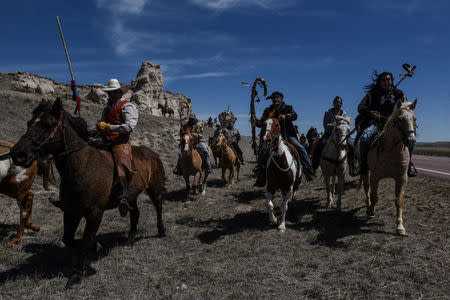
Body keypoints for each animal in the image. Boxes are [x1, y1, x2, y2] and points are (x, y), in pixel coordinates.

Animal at [11, 98, 166, 288]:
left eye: (49, 125)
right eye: (29, 123)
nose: (17, 154)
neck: (82, 166)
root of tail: (152, 154)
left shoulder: (95, 213)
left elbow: (86, 240)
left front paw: (78, 274)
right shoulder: (71, 211)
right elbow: (69, 239)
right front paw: (96, 247)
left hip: (154, 188)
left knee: (158, 206)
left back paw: (161, 230)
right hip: (130, 197)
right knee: (135, 213)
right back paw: (130, 239)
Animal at [358, 99, 418, 236]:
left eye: (414, 119)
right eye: (400, 119)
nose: (411, 140)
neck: (392, 152)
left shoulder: (401, 178)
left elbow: (399, 200)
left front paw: (400, 227)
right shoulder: (375, 177)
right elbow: (374, 197)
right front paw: (371, 211)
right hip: (366, 172)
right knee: (367, 188)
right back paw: (368, 205)